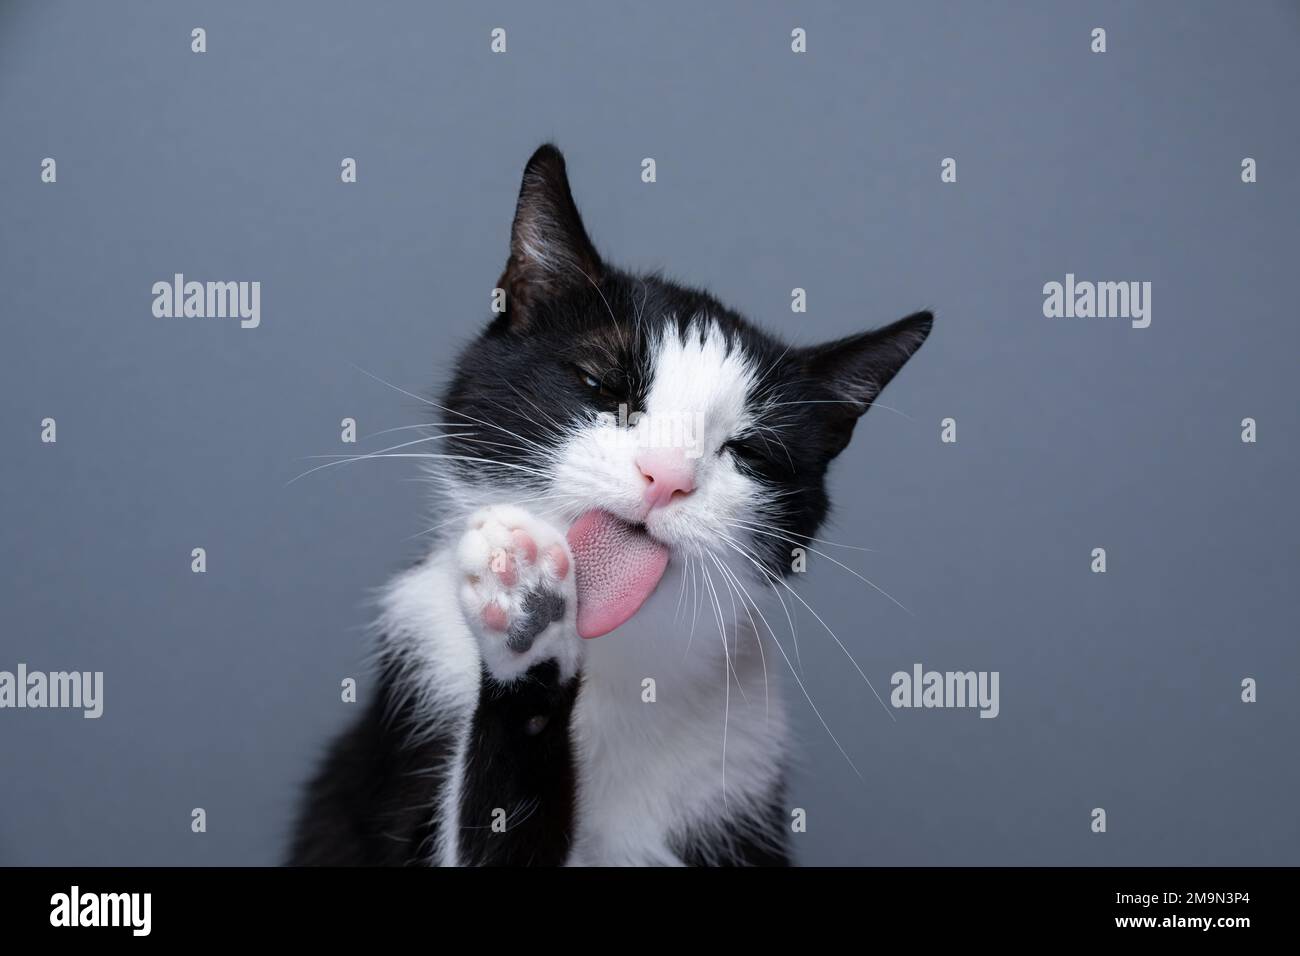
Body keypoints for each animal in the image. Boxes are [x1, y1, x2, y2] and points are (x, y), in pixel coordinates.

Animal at [288, 141, 930, 868]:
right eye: (601, 386)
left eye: (746, 451)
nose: (665, 477)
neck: (623, 662)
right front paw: (526, 609)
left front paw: (528, 612)